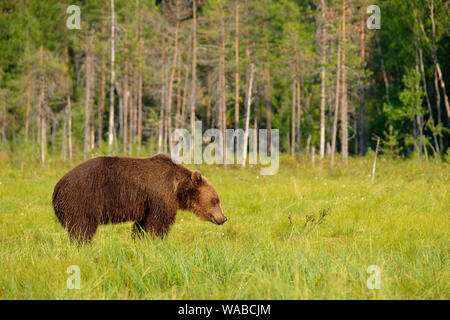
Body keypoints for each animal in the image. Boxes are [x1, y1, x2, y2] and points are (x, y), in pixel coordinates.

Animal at [52, 154, 227, 244]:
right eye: (216, 200)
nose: (224, 218)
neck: (177, 188)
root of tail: (56, 188)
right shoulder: (160, 194)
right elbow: (158, 222)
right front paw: (156, 240)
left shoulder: (147, 205)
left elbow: (142, 225)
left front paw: (140, 240)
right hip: (82, 199)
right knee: (82, 228)